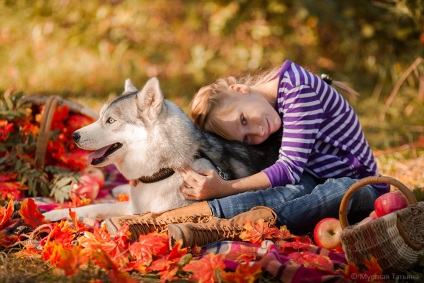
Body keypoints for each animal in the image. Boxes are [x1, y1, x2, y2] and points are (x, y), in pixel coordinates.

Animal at [43, 77, 278, 222]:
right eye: (101, 116)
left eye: (110, 121)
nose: (74, 136)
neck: (164, 171)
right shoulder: (132, 205)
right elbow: (90, 208)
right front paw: (49, 215)